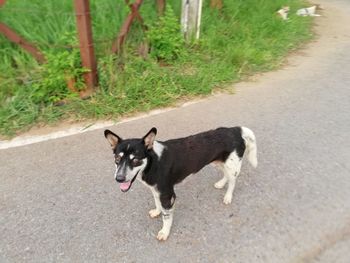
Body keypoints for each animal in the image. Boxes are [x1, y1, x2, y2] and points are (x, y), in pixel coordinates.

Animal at [104, 127, 258, 241]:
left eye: (135, 160)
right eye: (117, 158)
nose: (119, 178)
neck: (153, 162)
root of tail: (236, 129)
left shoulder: (167, 195)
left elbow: (166, 217)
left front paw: (164, 232)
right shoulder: (156, 191)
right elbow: (157, 204)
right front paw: (157, 211)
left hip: (232, 165)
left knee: (233, 181)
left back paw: (228, 197)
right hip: (219, 162)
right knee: (226, 175)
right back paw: (220, 184)